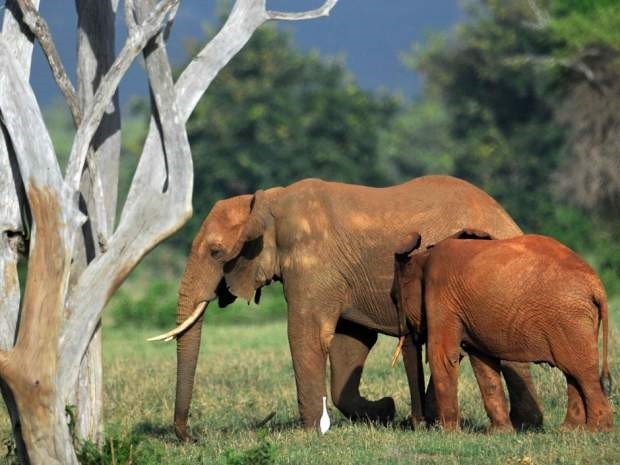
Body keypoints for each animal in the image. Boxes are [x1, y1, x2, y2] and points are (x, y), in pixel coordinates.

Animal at [151, 175, 544, 438]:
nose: (190, 437)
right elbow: (349, 343)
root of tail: (507, 218)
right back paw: (524, 425)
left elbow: (307, 335)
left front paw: (310, 433)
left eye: (216, 252)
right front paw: (384, 411)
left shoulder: (313, 263)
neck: (267, 202)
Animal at [394, 231, 612, 432]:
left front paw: (449, 434)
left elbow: (443, 355)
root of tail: (596, 284)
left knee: (582, 372)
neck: (423, 257)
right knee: (572, 372)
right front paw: (499, 433)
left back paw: (596, 430)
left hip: (569, 319)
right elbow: (482, 362)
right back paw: (570, 430)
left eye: (397, 300)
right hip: (577, 320)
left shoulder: (441, 295)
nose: (420, 425)